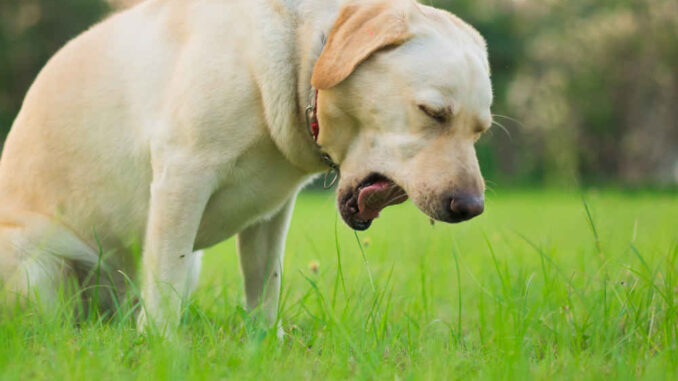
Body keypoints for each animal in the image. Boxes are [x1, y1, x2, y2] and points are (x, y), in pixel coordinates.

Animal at [1, 0, 494, 332]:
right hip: (35, 264)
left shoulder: (273, 214)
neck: (302, 59)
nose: (470, 207)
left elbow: (264, 281)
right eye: (432, 112)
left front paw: (264, 342)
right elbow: (165, 282)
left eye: (480, 131)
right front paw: (162, 347)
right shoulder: (183, 176)